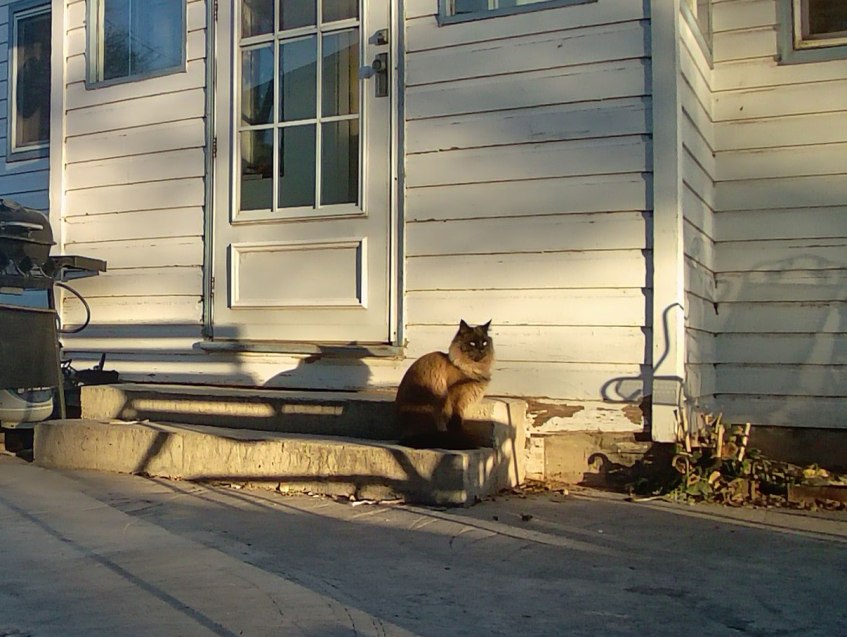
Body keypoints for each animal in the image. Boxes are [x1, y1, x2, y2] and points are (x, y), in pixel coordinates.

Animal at [395, 320, 494, 449]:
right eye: (472, 343)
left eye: (484, 342)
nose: (481, 349)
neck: (474, 370)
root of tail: (403, 437)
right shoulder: (455, 401)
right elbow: (456, 423)